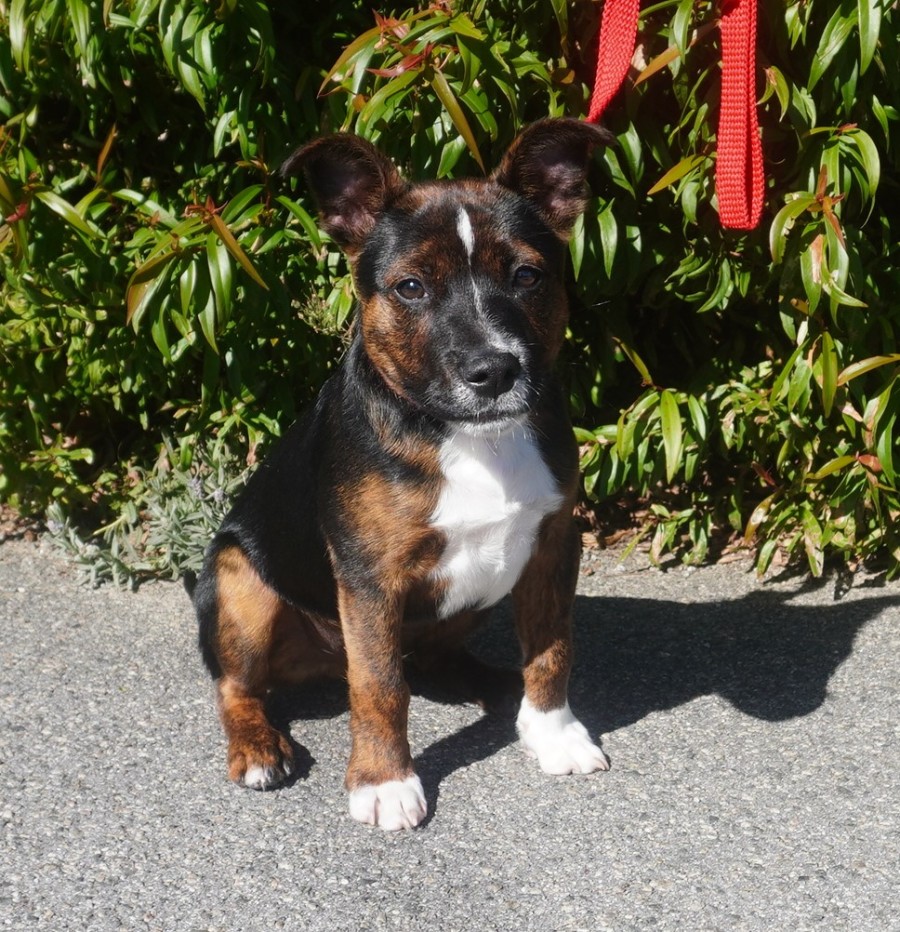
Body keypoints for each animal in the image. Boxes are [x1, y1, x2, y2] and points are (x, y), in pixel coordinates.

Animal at [192, 117, 613, 830]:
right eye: (410, 287)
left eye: (528, 276)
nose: (494, 371)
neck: (465, 433)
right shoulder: (370, 576)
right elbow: (380, 684)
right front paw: (384, 782)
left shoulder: (554, 545)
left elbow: (553, 645)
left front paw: (553, 732)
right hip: (238, 582)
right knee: (236, 684)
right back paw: (256, 746)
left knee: (436, 656)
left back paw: (499, 687)